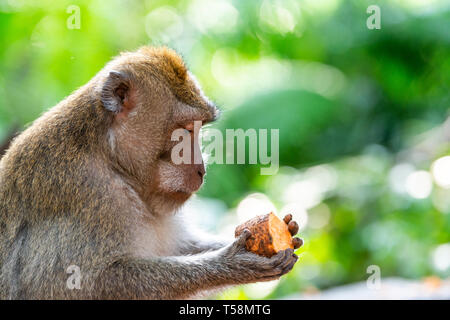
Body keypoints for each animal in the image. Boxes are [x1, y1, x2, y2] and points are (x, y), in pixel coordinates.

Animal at [0, 46, 302, 298]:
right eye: (184, 131)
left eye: (199, 128)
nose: (202, 170)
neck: (109, 158)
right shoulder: (85, 194)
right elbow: (80, 283)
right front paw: (232, 263)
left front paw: (285, 229)